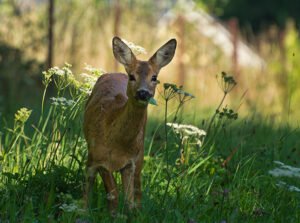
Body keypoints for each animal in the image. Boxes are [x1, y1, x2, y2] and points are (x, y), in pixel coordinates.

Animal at [82, 37, 176, 214]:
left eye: (154, 77)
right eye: (132, 76)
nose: (143, 93)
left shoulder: (130, 162)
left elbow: (128, 200)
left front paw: (125, 215)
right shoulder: (100, 158)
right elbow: (113, 196)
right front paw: (112, 215)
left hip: (140, 154)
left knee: (138, 190)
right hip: (92, 152)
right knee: (88, 174)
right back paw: (82, 207)